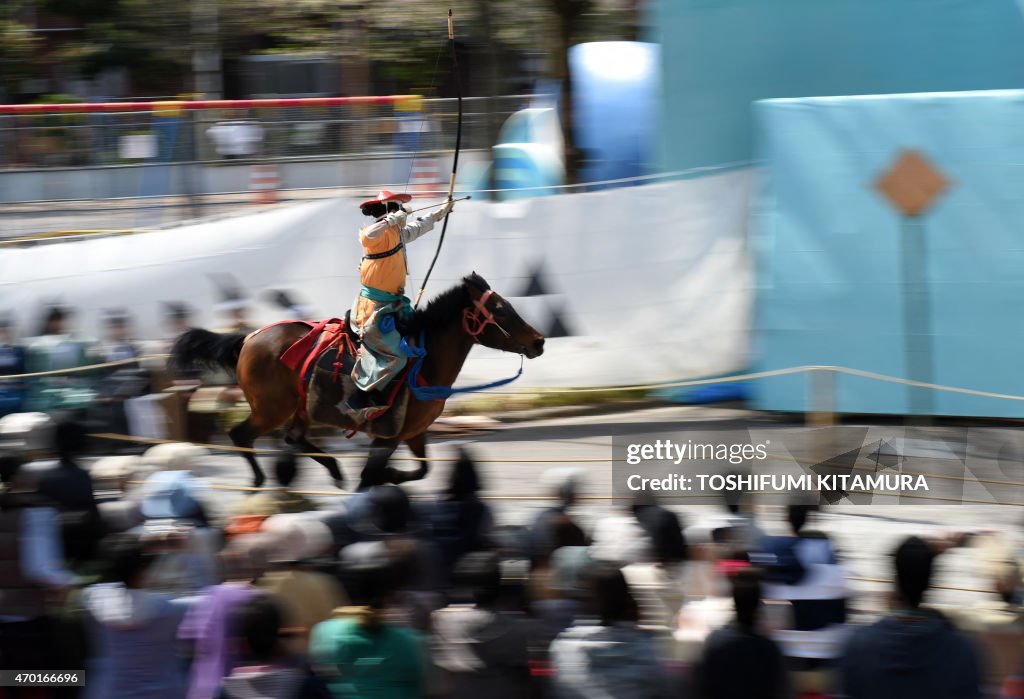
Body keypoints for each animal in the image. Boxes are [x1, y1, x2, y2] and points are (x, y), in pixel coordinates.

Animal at [172, 270, 548, 489]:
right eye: (500, 310)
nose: (539, 341)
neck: (424, 364)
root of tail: (248, 338)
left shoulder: (412, 433)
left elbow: (421, 470)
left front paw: (392, 476)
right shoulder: (387, 436)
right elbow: (371, 476)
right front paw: (381, 479)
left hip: (299, 408)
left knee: (294, 439)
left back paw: (334, 471)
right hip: (271, 409)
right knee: (242, 435)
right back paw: (259, 479)